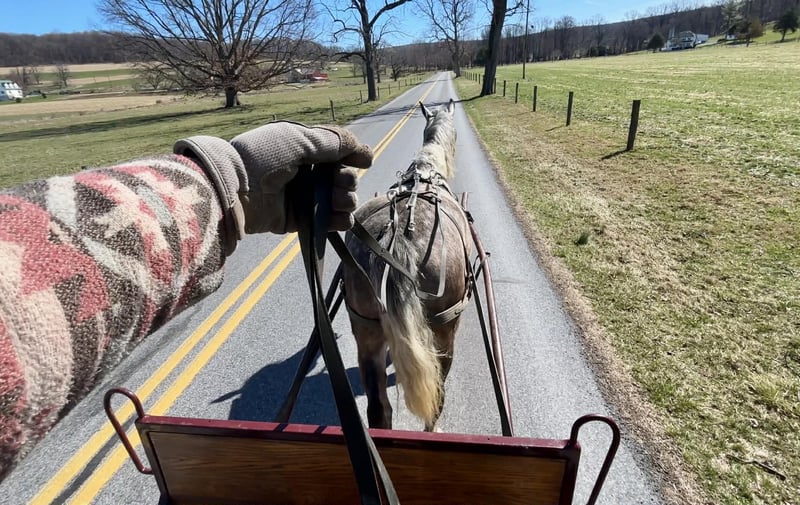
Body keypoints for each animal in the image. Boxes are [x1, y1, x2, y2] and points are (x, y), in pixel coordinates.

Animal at [342, 99, 473, 432]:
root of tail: (397, 237)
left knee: (378, 408)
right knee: (437, 395)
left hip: (365, 328)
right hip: (444, 329)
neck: (426, 171)